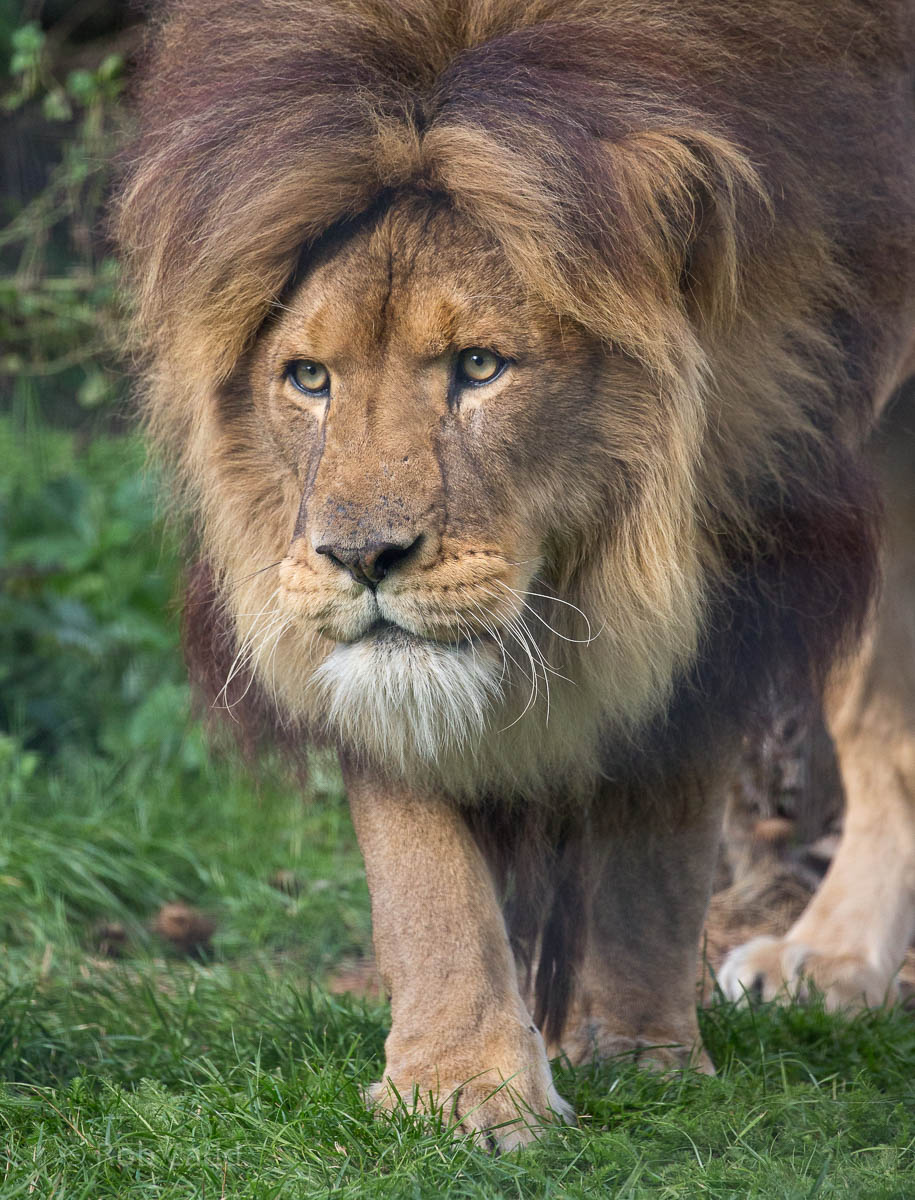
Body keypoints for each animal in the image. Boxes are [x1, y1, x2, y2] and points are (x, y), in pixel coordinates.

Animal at [116, 0, 915, 1148]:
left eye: (481, 367)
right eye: (307, 378)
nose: (361, 557)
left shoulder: (748, 496)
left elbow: (660, 828)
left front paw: (644, 1055)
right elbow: (421, 859)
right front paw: (463, 1082)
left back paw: (833, 956)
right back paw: (839, 959)